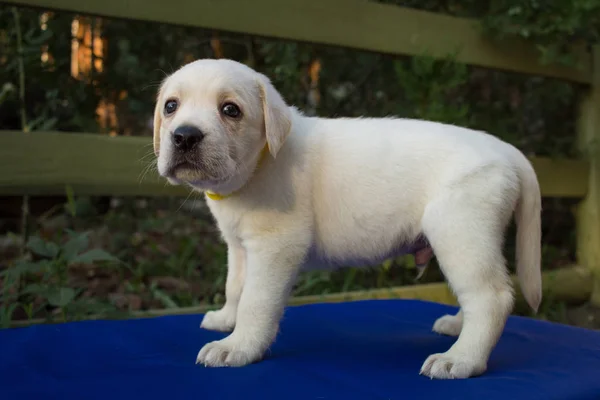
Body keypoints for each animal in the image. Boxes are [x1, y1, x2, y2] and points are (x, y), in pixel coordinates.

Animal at [151, 57, 544, 380]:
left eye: (230, 110)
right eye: (171, 106)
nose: (185, 135)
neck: (257, 166)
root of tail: (506, 149)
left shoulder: (275, 247)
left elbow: (255, 300)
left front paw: (239, 346)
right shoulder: (239, 246)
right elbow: (236, 288)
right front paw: (225, 321)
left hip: (460, 232)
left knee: (490, 297)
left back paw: (462, 359)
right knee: (476, 294)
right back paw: (457, 328)